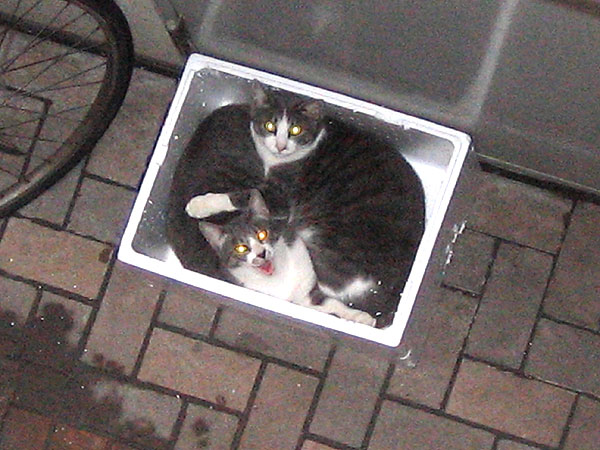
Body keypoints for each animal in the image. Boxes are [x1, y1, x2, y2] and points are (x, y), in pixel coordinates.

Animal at [197, 189, 377, 326]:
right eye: (240, 248)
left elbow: (332, 302)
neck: (278, 279)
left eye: (262, 234)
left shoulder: (305, 295)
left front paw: (360, 316)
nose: (261, 253)